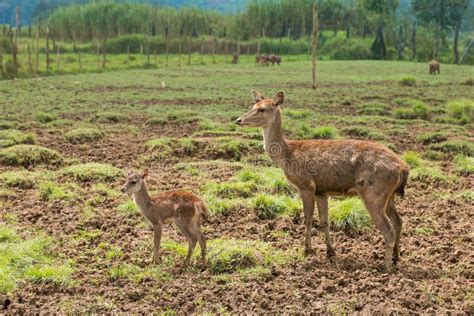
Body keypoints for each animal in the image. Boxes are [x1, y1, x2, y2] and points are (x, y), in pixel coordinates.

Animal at [235, 90, 410, 272]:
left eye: (262, 109)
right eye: (253, 105)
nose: (238, 120)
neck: (287, 155)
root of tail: (403, 168)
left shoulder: (306, 185)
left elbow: (308, 218)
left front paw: (306, 250)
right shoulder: (321, 191)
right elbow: (325, 220)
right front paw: (330, 251)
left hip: (373, 193)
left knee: (388, 229)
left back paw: (386, 267)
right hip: (388, 196)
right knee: (399, 221)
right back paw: (396, 257)